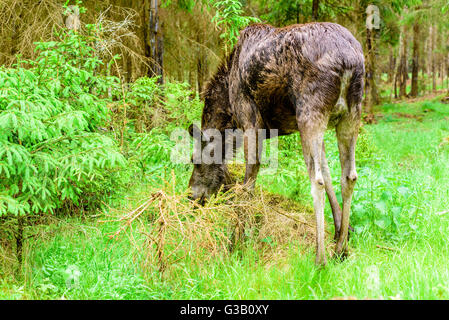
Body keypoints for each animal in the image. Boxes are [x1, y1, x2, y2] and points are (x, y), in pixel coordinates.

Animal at [186, 22, 364, 266]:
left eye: (194, 160)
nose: (190, 196)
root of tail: (348, 62)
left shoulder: (250, 121)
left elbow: (248, 186)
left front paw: (237, 241)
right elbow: (329, 174)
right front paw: (341, 232)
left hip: (310, 112)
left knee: (316, 181)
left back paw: (320, 258)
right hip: (351, 114)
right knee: (349, 176)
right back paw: (340, 250)